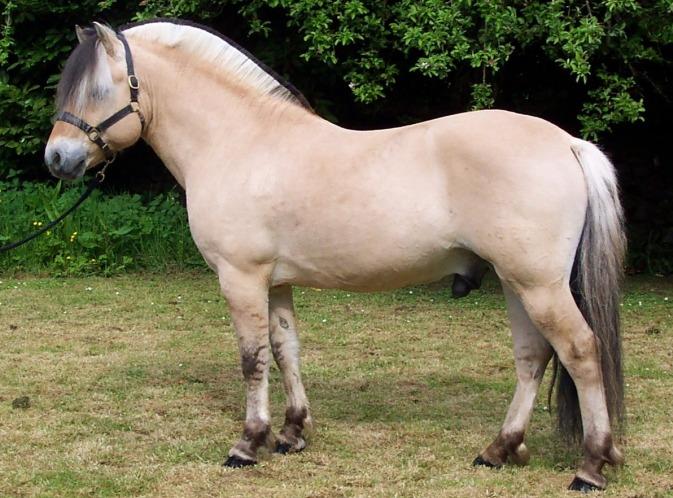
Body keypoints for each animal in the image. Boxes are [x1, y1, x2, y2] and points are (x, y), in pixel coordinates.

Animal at [44, 19, 626, 492]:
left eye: (97, 88)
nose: (56, 158)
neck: (240, 142)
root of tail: (569, 143)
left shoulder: (240, 277)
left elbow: (252, 359)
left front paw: (248, 444)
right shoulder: (275, 282)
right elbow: (286, 350)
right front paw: (291, 433)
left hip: (538, 285)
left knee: (581, 352)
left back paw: (591, 467)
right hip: (516, 283)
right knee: (532, 358)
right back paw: (498, 450)